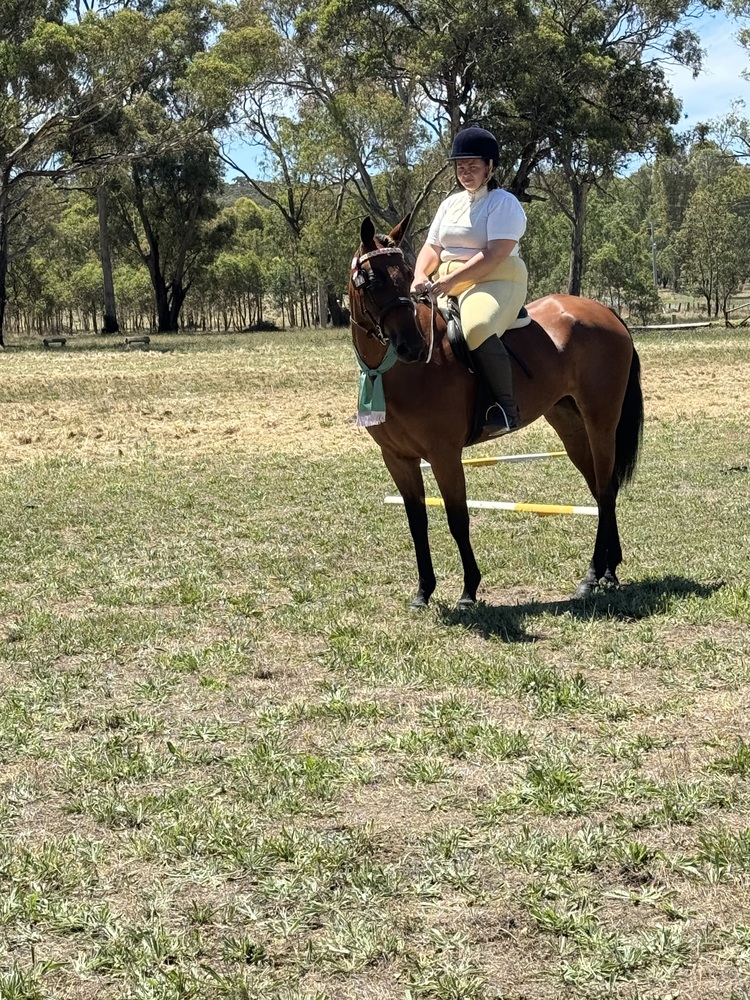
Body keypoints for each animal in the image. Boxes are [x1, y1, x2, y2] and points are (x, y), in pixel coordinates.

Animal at [349, 214, 644, 609]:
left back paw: (593, 575)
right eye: (372, 279)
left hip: (601, 422)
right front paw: (423, 591)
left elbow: (458, 520)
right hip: (570, 425)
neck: (401, 373)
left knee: (607, 490)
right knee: (601, 489)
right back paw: (607, 571)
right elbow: (417, 523)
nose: (412, 346)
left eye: (406, 273)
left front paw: (468, 591)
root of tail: (604, 311)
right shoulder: (398, 459)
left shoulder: (444, 455)